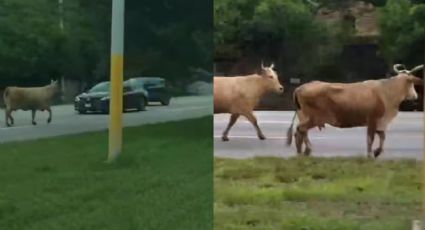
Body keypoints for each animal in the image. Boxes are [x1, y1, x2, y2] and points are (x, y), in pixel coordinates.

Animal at [284, 64, 420, 158]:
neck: (386, 92)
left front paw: (377, 152)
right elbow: (370, 138)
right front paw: (370, 155)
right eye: (411, 83)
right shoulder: (372, 120)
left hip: (304, 116)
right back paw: (307, 150)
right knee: (301, 129)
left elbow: (382, 136)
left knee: (300, 132)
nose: (415, 96)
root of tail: (301, 88)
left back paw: (301, 152)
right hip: (314, 118)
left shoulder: (380, 122)